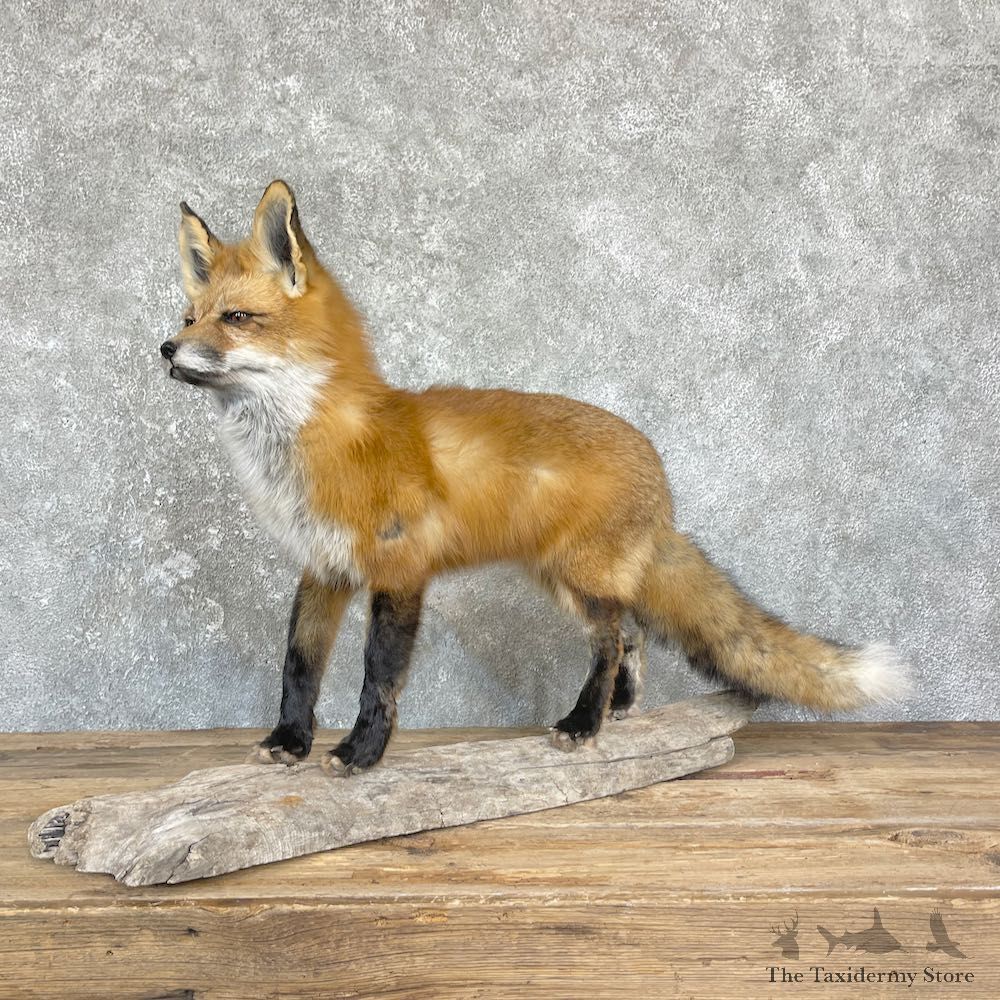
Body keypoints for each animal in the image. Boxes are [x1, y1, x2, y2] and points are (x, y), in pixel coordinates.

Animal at [161, 180, 910, 775]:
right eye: (189, 316)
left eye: (237, 318)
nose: (165, 349)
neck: (322, 444)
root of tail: (657, 466)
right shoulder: (323, 568)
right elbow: (298, 667)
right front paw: (289, 742)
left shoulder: (400, 572)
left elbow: (379, 679)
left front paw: (361, 754)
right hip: (563, 578)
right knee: (631, 632)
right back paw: (616, 709)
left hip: (577, 577)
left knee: (609, 641)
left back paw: (584, 721)